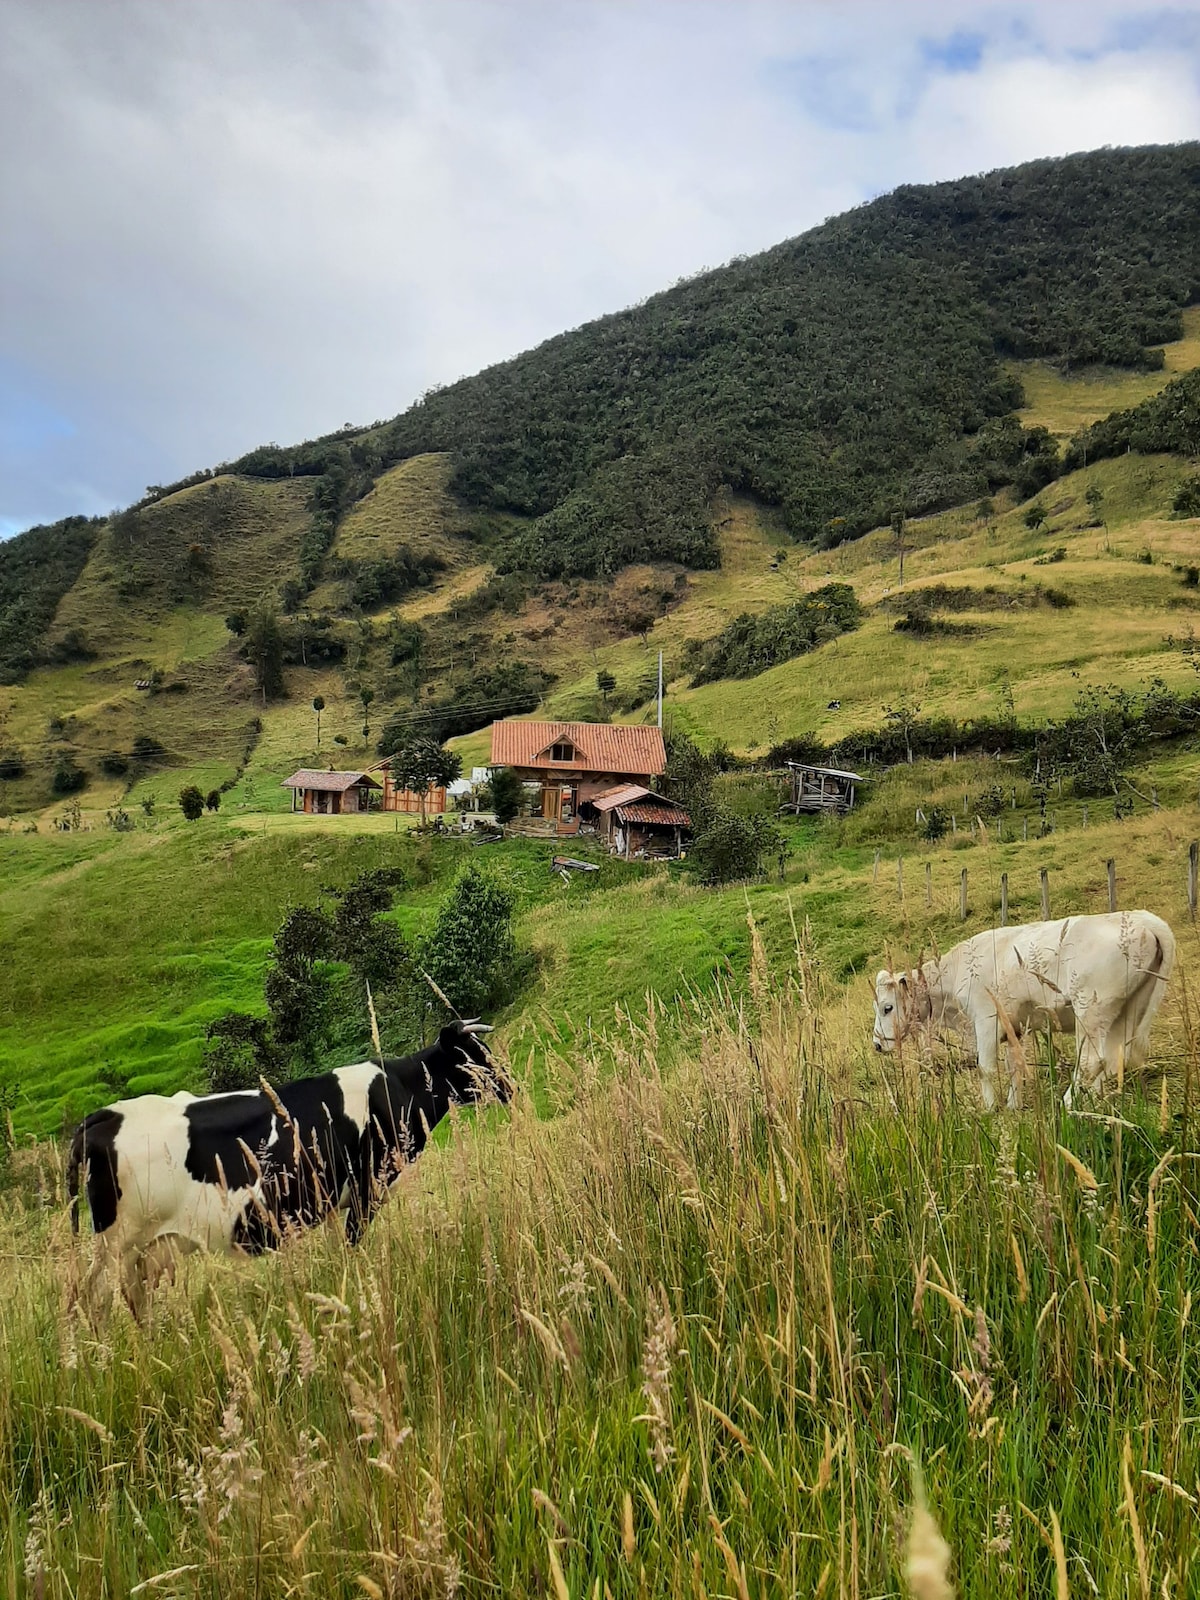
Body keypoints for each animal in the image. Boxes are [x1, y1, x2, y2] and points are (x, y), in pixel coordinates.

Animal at [66, 1017, 512, 1318]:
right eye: (472, 1056)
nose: (509, 1085)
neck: (395, 1090)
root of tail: (104, 1117)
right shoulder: (365, 1191)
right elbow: (353, 1246)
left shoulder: (331, 1200)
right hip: (115, 1244)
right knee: (94, 1299)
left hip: (149, 1250)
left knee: (134, 1298)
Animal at [876, 915, 1177, 1113]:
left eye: (887, 1007)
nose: (877, 1044)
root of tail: (1144, 919)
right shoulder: (1015, 1026)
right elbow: (1015, 1065)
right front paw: (1013, 1104)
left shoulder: (986, 1020)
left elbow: (985, 1067)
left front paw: (990, 1107)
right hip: (1126, 1010)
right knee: (1113, 1057)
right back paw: (1094, 1097)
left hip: (1091, 1009)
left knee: (1092, 1060)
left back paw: (1069, 1102)